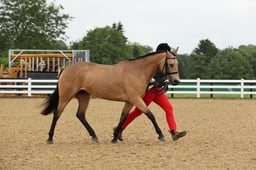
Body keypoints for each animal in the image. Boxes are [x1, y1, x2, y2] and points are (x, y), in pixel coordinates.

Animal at [41, 47, 179, 143]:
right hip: (66, 96)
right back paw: (50, 138)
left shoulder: (129, 101)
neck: (137, 71)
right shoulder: (136, 99)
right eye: (171, 64)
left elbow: (123, 117)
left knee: (80, 115)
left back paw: (94, 136)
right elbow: (150, 115)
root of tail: (66, 69)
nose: (176, 81)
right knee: (57, 114)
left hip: (84, 96)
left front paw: (115, 137)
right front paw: (161, 135)